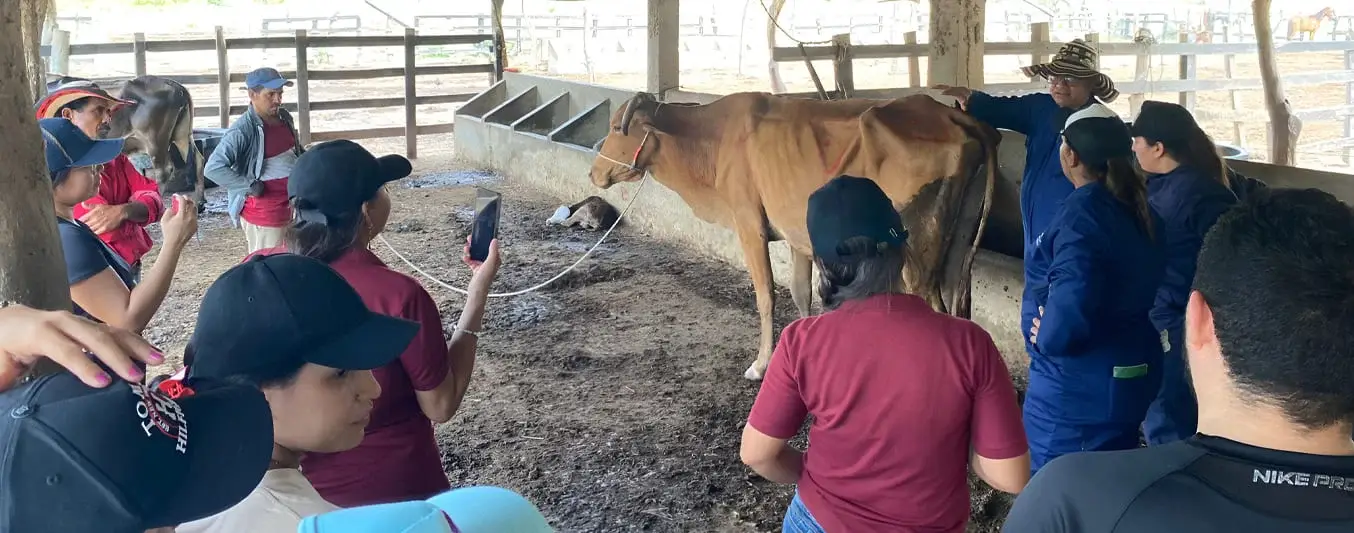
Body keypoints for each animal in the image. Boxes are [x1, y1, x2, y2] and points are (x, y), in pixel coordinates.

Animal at [587, 94, 1001, 381]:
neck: (712, 140)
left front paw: (761, 364)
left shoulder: (749, 224)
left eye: (615, 127)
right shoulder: (796, 234)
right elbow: (801, 293)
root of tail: (953, 115)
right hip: (957, 249)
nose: (593, 172)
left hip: (918, 252)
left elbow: (766, 295)